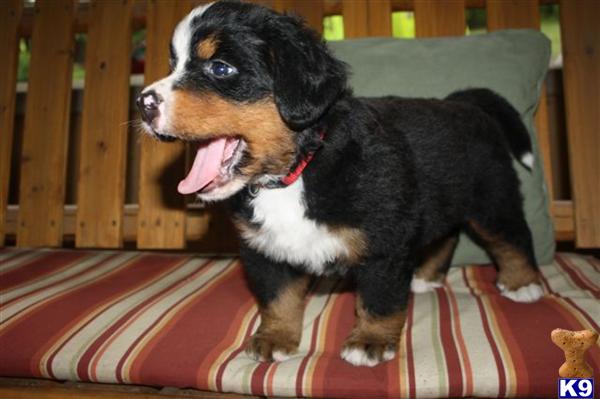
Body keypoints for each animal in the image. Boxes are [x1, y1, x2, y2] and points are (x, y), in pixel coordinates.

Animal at [138, 0, 548, 368]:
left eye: (220, 68)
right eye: (174, 66)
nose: (143, 102)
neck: (295, 173)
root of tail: (464, 103)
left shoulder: (386, 243)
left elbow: (379, 300)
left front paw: (370, 342)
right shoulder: (264, 251)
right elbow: (278, 299)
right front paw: (275, 338)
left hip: (492, 198)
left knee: (511, 237)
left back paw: (522, 283)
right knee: (446, 235)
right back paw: (426, 276)